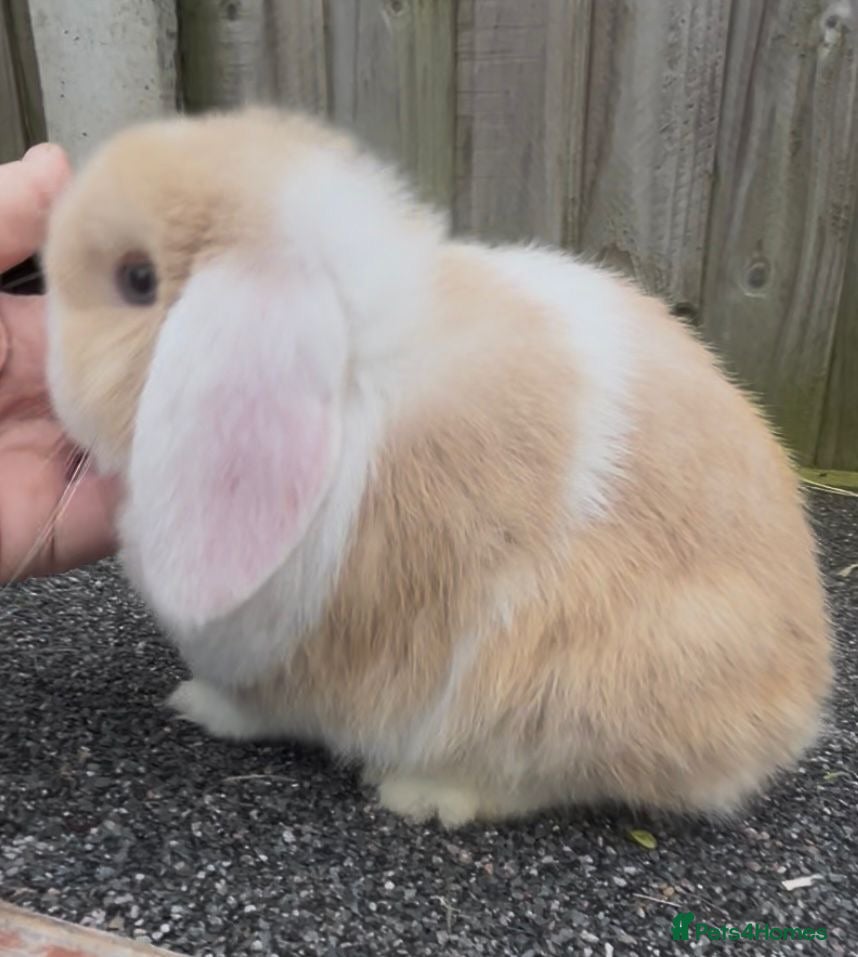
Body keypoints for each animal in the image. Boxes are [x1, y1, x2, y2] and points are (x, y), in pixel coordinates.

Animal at [41, 106, 833, 828]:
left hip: (569, 690)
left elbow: (259, 706)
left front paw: (194, 703)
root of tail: (797, 710)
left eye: (137, 279)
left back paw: (422, 792)